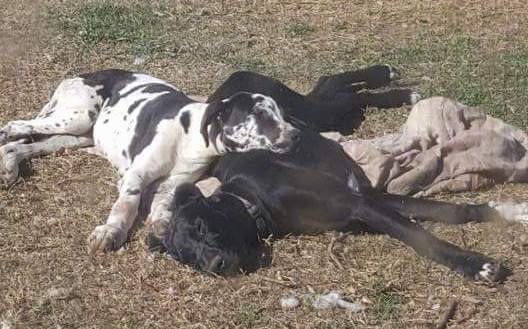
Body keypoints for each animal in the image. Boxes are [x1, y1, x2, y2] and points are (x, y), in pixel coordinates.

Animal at [0, 69, 296, 252]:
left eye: (282, 114)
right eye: (260, 114)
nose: (297, 135)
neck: (189, 136)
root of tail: (79, 75)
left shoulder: (169, 184)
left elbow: (165, 204)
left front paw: (162, 223)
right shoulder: (137, 175)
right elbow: (126, 205)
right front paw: (111, 231)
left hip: (74, 136)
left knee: (26, 145)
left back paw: (10, 165)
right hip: (77, 117)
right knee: (16, 126)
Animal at [159, 65, 512, 280]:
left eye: (201, 226)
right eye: (186, 258)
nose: (214, 266)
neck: (252, 199)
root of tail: (221, 95)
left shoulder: (360, 202)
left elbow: (422, 238)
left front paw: (476, 264)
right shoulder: (371, 199)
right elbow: (449, 212)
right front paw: (495, 215)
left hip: (313, 112)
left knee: (344, 92)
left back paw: (392, 85)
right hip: (326, 117)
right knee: (330, 86)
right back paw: (387, 78)